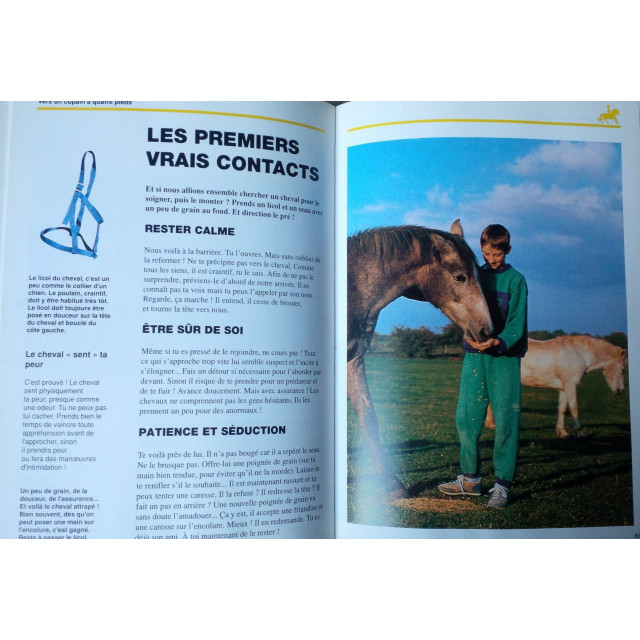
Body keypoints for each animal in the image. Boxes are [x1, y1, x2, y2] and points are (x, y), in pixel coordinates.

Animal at [348, 220, 493, 497]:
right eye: (460, 276)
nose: (486, 330)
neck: (352, 289)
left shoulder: (354, 358)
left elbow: (368, 415)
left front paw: (392, 486)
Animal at [484, 335, 627, 438]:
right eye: (623, 369)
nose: (620, 390)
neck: (579, 353)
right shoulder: (571, 385)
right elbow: (574, 408)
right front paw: (579, 432)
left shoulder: (564, 388)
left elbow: (562, 409)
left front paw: (562, 431)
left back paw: (491, 424)